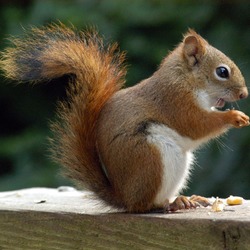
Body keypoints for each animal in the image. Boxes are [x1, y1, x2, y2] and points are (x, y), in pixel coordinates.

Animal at [0, 23, 249, 212]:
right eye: (222, 72)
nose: (244, 94)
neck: (185, 79)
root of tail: (123, 197)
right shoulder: (175, 102)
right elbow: (197, 124)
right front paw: (234, 116)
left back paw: (188, 199)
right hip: (151, 157)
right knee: (146, 205)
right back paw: (172, 203)